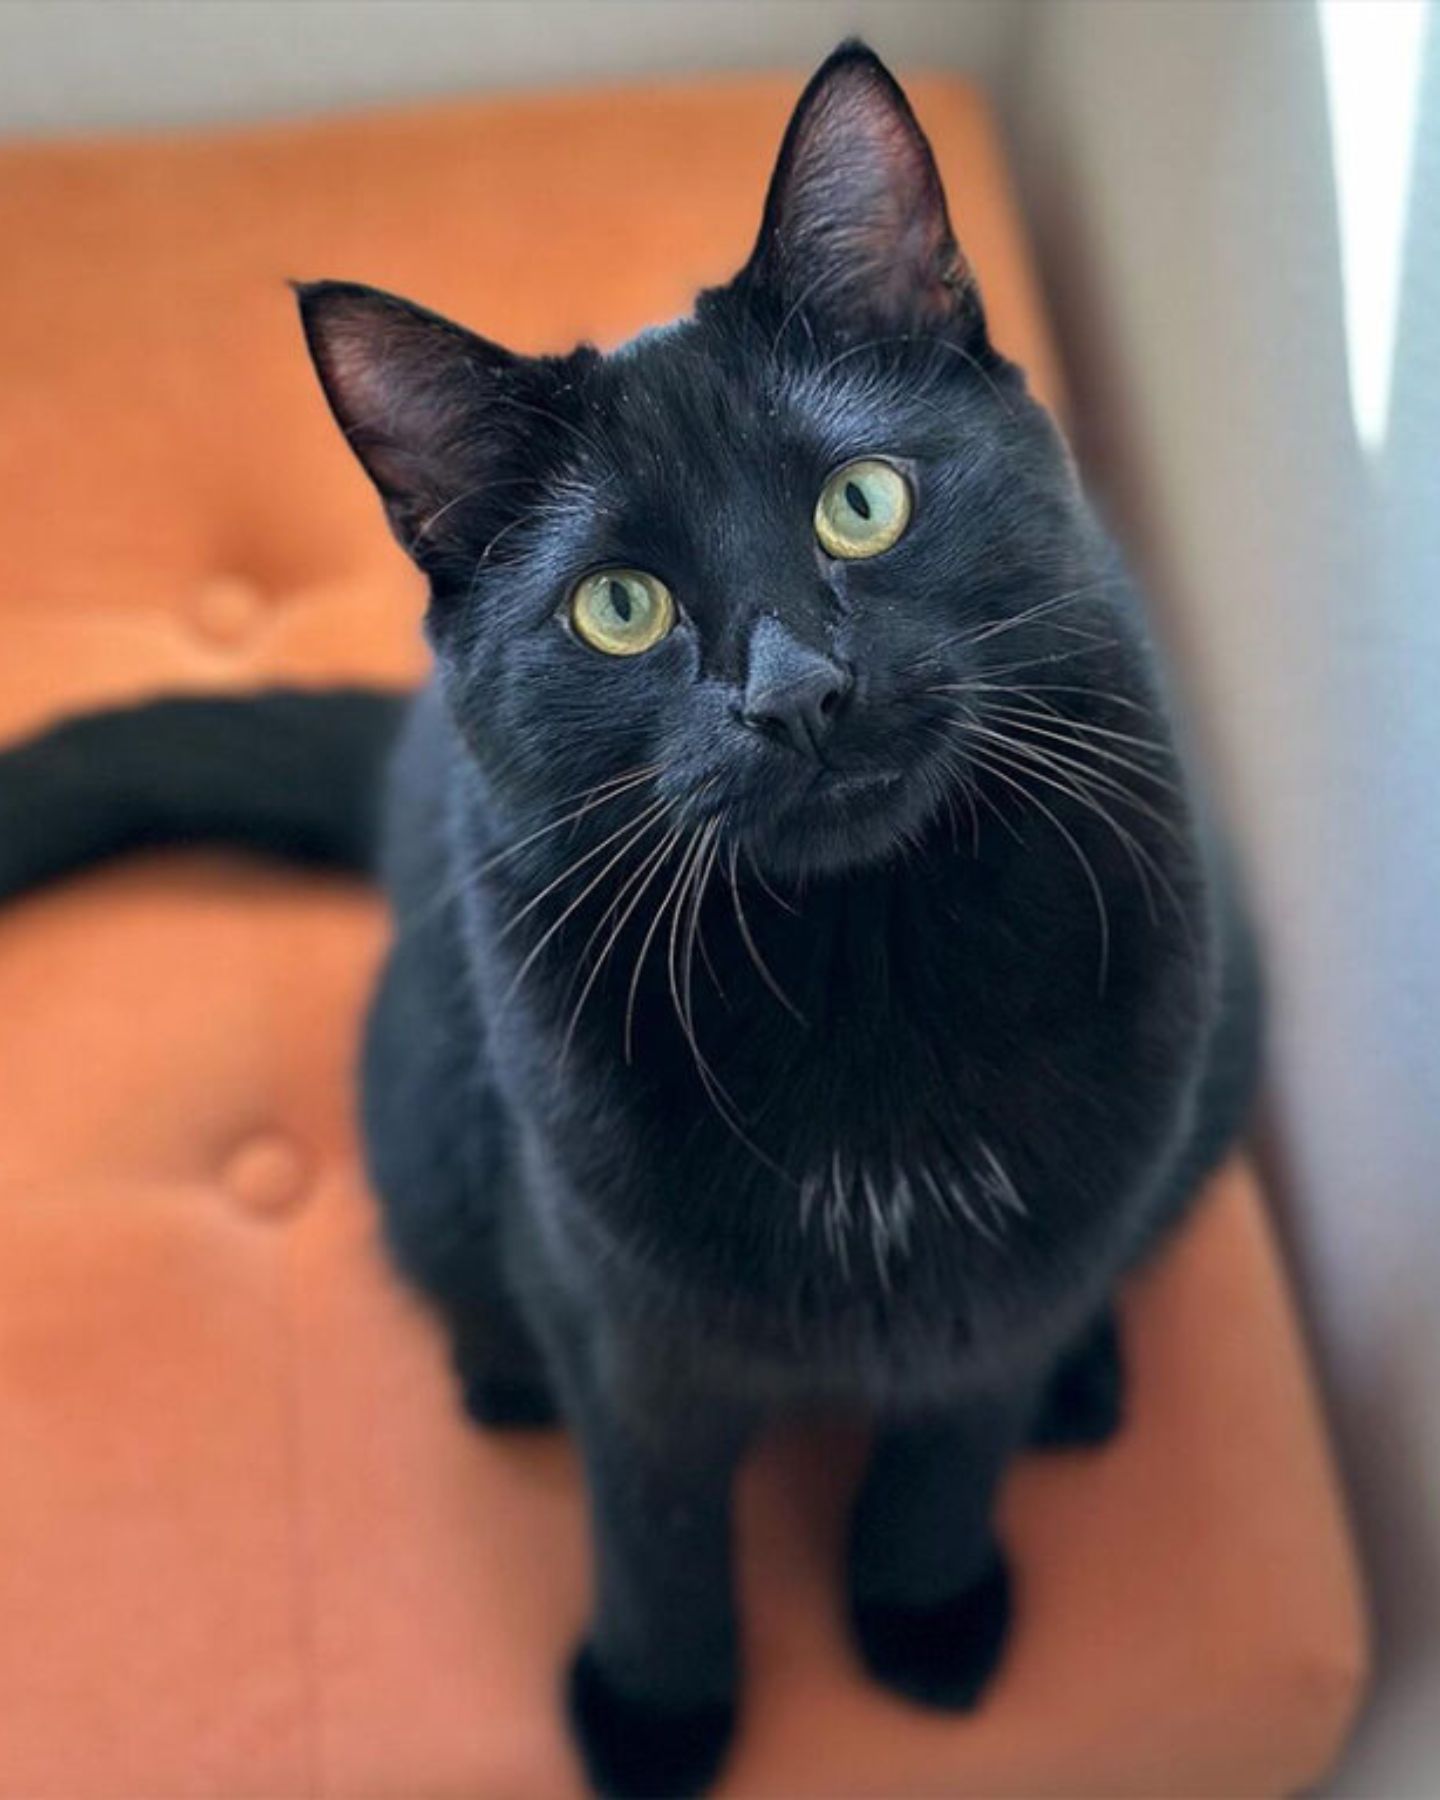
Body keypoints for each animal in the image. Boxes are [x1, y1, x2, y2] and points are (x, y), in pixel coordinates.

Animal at [0, 38, 1260, 1800]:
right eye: (620, 608)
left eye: (861, 505)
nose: (797, 690)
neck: (860, 971)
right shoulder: (619, 1312)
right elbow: (653, 1522)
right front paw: (662, 1714)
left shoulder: (1017, 1267)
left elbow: (956, 1440)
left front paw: (923, 1613)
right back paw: (496, 1375)